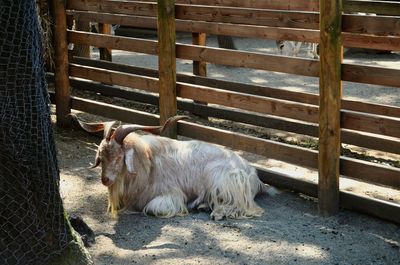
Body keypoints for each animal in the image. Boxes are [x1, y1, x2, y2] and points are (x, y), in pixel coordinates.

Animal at [72, 114, 274, 220]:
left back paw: (217, 212)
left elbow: (153, 208)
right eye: (101, 157)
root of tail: (253, 173)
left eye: (119, 157)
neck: (148, 164)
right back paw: (203, 206)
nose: (105, 179)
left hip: (223, 180)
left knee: (243, 206)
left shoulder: (172, 195)